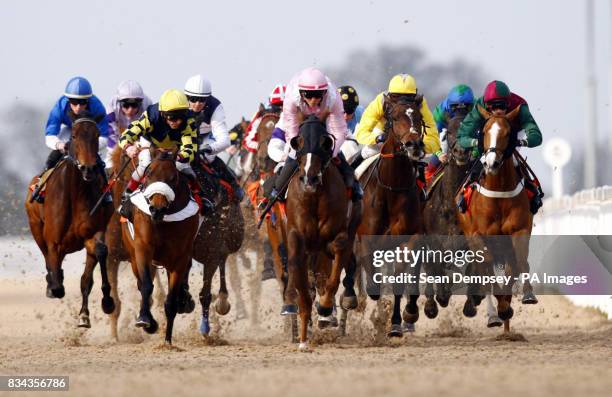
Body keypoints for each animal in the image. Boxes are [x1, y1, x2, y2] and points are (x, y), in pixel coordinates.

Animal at [24, 112, 115, 328]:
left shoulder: (93, 233)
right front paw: (54, 285)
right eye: (73, 135)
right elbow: (56, 278)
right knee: (49, 260)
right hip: (36, 227)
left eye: (96, 135)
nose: (89, 168)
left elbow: (98, 256)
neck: (74, 194)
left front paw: (103, 304)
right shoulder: (53, 241)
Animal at [122, 148, 201, 344]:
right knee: (141, 283)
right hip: (133, 256)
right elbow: (146, 286)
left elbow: (171, 299)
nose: (157, 209)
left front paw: (167, 340)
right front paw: (145, 320)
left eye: (173, 178)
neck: (163, 221)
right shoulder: (143, 248)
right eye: (149, 174)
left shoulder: (180, 257)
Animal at [284, 115, 360, 350]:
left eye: (324, 143)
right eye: (298, 142)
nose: (310, 179)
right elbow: (302, 288)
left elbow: (333, 275)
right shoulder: (296, 238)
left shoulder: (338, 236)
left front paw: (325, 308)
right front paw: (302, 338)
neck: (314, 197)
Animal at [354, 97, 426, 336]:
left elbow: (400, 281)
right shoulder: (367, 240)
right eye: (394, 117)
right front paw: (378, 317)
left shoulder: (408, 239)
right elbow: (374, 286)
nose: (414, 145)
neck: (391, 187)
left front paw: (396, 321)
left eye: (419, 118)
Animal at [456, 103, 536, 332]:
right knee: (484, 269)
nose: (492, 162)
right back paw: (493, 314)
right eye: (484, 132)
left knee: (514, 265)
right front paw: (499, 308)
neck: (499, 190)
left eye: (508, 133)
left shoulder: (519, 231)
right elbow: (487, 269)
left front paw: (519, 298)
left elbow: (519, 262)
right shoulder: (478, 235)